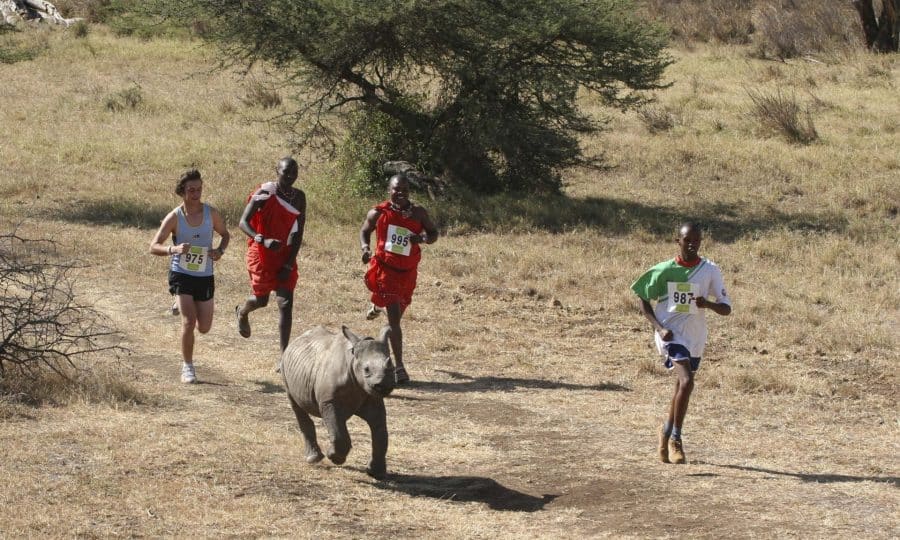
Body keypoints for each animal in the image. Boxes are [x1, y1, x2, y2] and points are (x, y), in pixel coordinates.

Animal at [280, 325, 395, 479]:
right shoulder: (329, 402)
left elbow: (381, 434)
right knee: (296, 406)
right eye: (366, 370)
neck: (353, 360)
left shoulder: (373, 398)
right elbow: (338, 431)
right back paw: (314, 458)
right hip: (284, 368)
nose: (383, 385)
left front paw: (375, 472)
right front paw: (335, 458)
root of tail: (295, 340)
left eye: (392, 367)